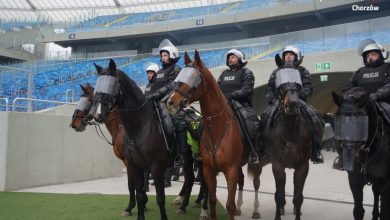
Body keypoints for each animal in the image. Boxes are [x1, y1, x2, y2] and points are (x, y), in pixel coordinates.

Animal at [87, 58, 168, 220]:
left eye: (112, 85)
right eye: (98, 85)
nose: (96, 115)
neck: (139, 128)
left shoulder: (156, 167)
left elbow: (160, 198)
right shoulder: (135, 165)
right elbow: (139, 194)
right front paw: (137, 211)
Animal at [165, 50, 262, 219]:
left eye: (193, 78)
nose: (171, 103)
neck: (217, 131)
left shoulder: (230, 170)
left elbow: (229, 205)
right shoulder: (208, 170)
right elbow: (212, 200)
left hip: (256, 163)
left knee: (256, 184)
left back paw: (255, 210)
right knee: (242, 180)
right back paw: (240, 207)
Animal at [332, 87, 390, 220]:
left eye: (360, 117)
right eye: (338, 116)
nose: (346, 148)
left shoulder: (385, 183)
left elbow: (385, 213)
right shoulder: (355, 181)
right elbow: (358, 211)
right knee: (375, 193)